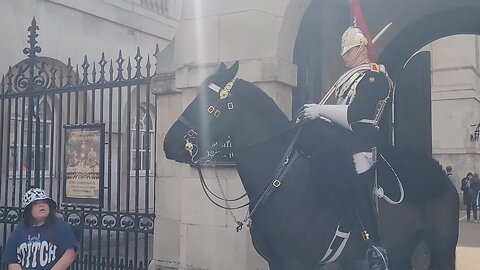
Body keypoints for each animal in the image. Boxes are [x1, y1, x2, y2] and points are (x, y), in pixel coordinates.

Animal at [164, 61, 458, 270]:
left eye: (208, 104)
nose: (169, 143)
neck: (281, 179)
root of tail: (440, 175)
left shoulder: (298, 262)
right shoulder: (276, 262)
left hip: (442, 249)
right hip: (402, 248)